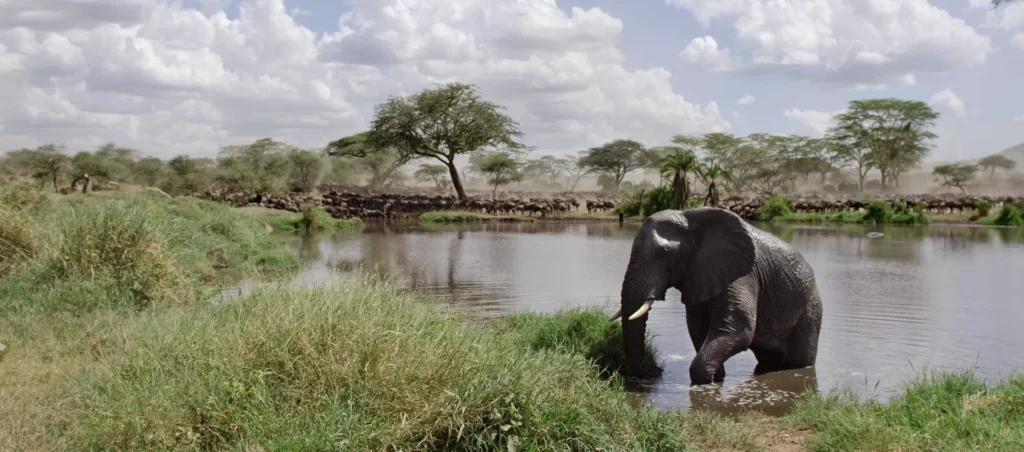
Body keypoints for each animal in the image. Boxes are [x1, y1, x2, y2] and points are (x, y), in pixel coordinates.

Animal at [609, 207, 823, 385]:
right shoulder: (698, 274)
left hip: (810, 309)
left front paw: (704, 381)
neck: (690, 218)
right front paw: (717, 378)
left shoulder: (742, 275)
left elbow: (739, 331)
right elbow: (698, 328)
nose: (649, 374)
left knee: (800, 359)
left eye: (665, 253)